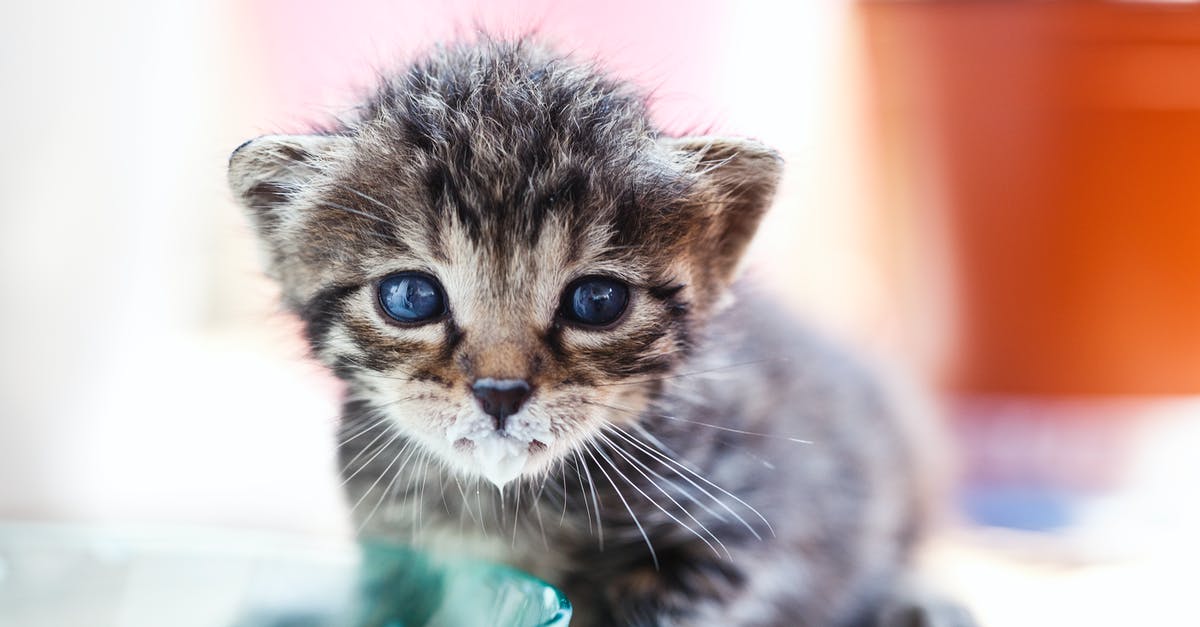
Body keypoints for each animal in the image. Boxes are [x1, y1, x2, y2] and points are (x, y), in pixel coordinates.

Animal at [226, 37, 974, 624]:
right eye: (411, 297)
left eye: (597, 301)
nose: (501, 392)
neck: (503, 508)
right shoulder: (393, 558)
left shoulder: (748, 533)